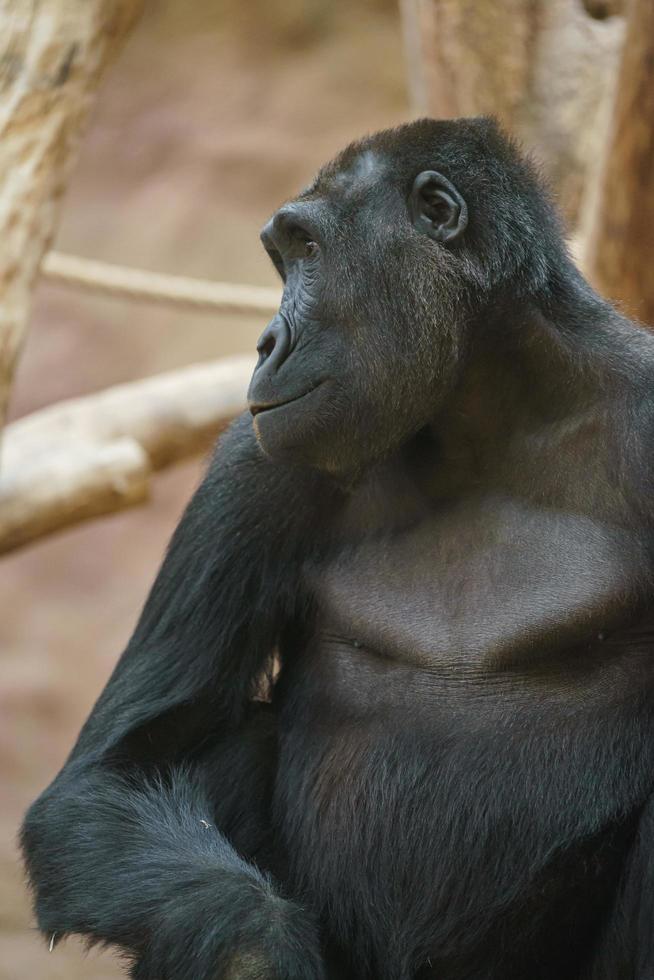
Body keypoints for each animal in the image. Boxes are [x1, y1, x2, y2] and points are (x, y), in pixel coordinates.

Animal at [20, 120, 654, 980]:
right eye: (283, 257)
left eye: (309, 251)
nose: (266, 343)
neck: (489, 413)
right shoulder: (254, 465)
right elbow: (114, 774)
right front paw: (257, 950)